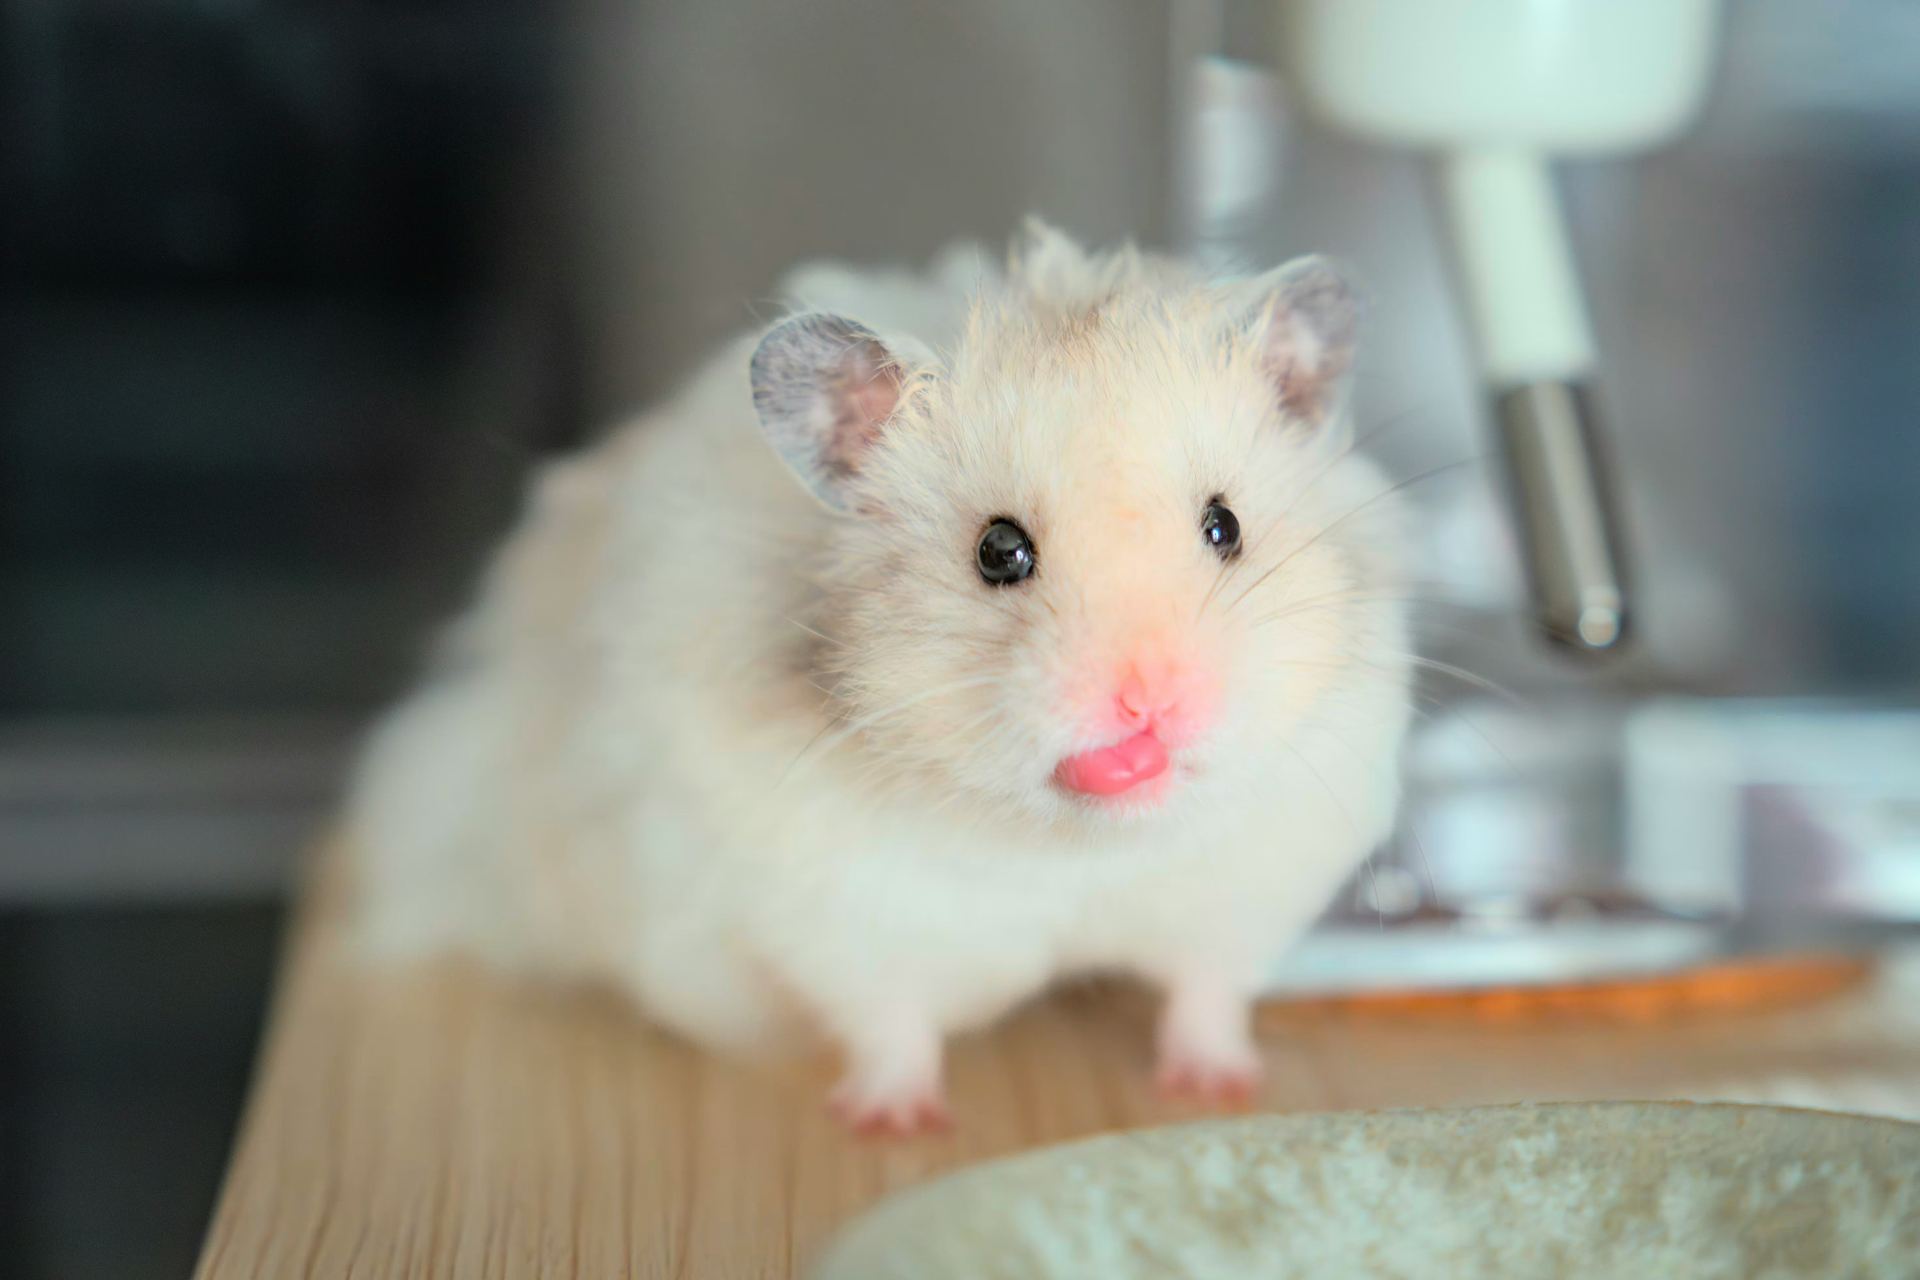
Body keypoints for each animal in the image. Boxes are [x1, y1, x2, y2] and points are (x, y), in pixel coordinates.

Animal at [346, 221, 1413, 1134]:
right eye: (998, 552)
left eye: (1224, 527)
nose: (1151, 703)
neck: (1069, 849)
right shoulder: (836, 909)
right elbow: (887, 1019)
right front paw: (895, 1122)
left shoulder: (1248, 884)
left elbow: (1208, 989)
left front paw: (1221, 1088)